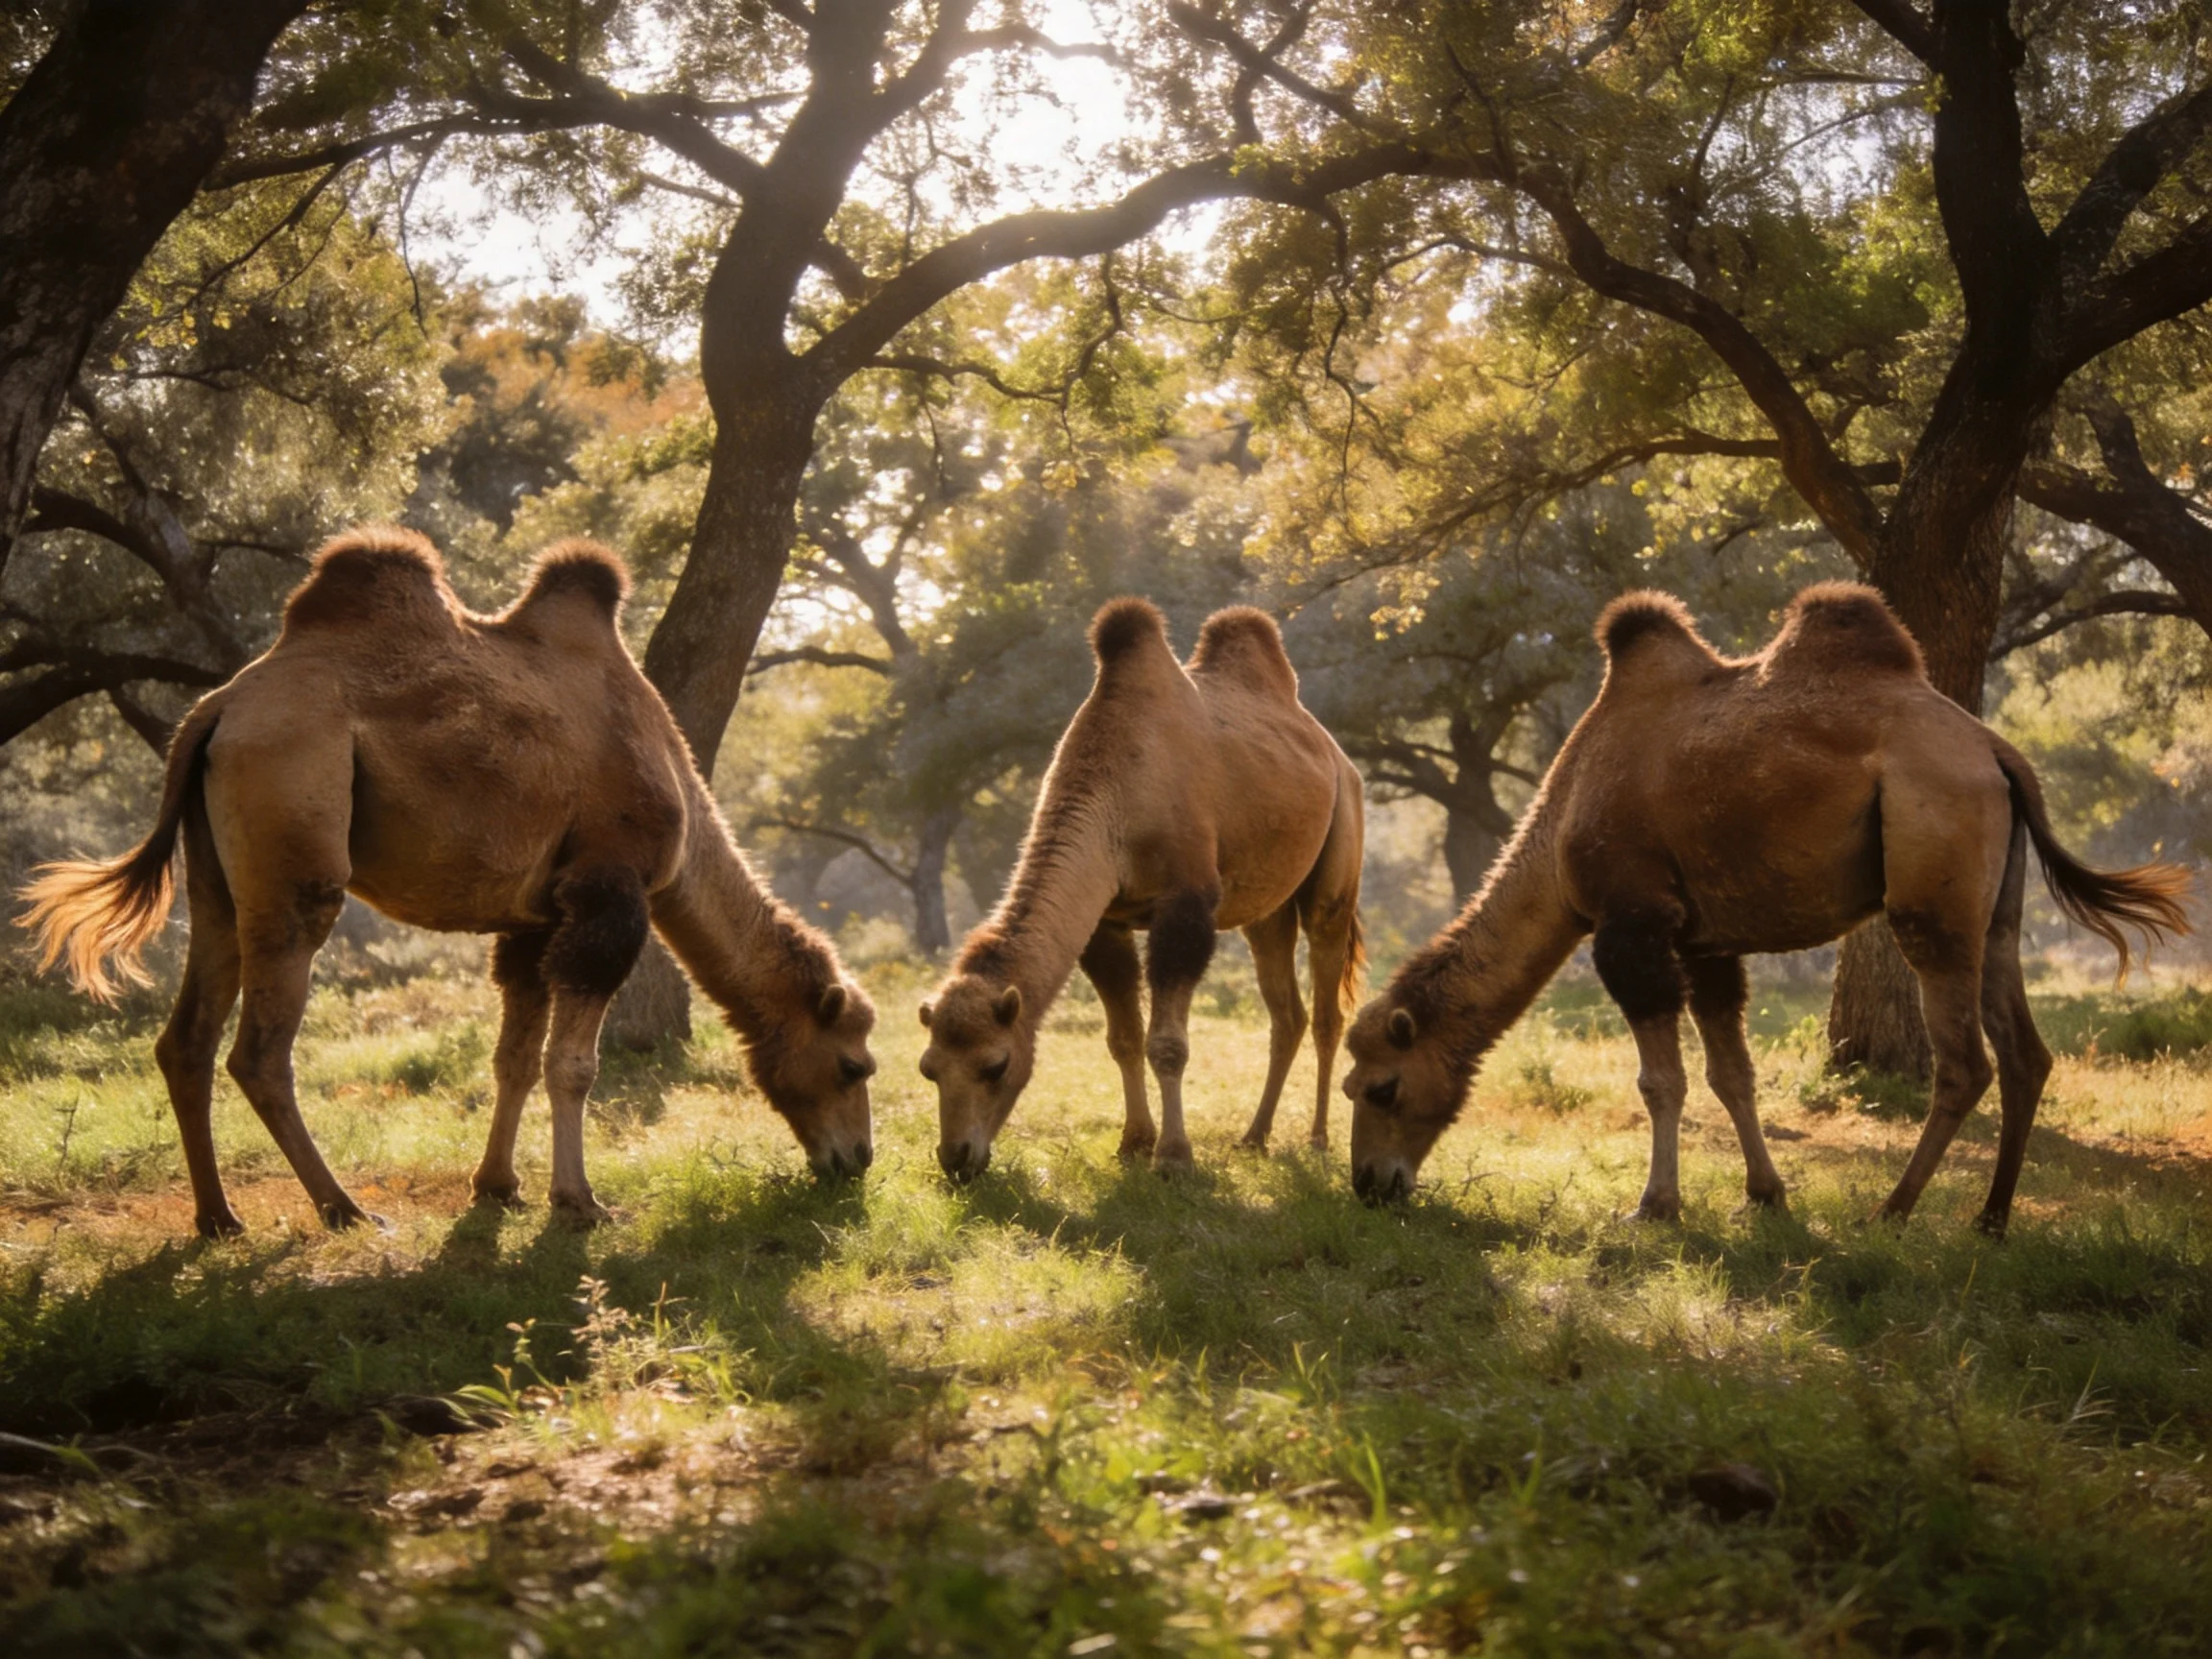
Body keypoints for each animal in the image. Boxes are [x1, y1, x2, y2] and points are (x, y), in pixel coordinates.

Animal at [19, 527, 878, 1238]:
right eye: (853, 1066)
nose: (857, 1162)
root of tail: (214, 711)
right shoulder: (610, 888)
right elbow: (574, 1064)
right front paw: (580, 1202)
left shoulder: (536, 915)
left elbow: (515, 1057)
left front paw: (498, 1186)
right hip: (293, 817)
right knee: (260, 1049)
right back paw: (343, 1208)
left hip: (216, 874)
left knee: (188, 1035)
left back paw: (219, 1219)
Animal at [921, 598, 1365, 1179]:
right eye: (929, 1068)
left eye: (996, 1065)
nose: (956, 1157)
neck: (1116, 799)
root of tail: (1338, 756)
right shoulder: (1105, 919)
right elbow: (1124, 1039)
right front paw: (1133, 1143)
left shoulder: (1186, 907)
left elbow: (1168, 1045)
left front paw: (1174, 1158)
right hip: (1266, 907)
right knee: (1286, 1013)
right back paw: (1254, 1137)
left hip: (1337, 865)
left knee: (1328, 1010)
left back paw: (1317, 1140)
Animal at [1341, 583, 2191, 1235]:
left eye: (1381, 1087)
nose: (1371, 1186)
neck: (1559, 828)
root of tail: (1999, 755)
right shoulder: (1704, 941)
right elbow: (1732, 1074)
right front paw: (1765, 1195)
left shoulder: (1631, 923)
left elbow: (1661, 1081)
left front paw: (1654, 1207)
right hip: (1996, 904)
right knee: (2024, 1048)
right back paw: (1990, 1220)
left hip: (1933, 881)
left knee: (1963, 1062)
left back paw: (1893, 1210)